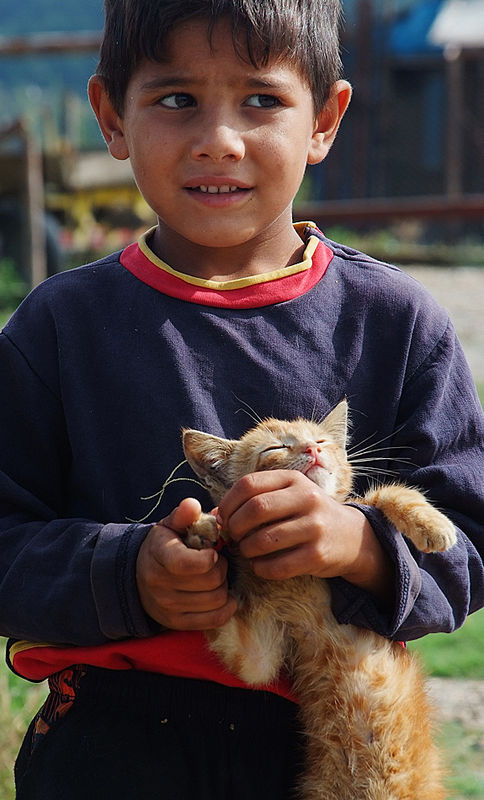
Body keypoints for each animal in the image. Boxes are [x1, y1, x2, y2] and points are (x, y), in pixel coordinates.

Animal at [181, 399, 456, 800]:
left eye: (322, 440)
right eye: (275, 448)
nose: (313, 450)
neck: (299, 578)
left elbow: (384, 494)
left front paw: (433, 525)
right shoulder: (259, 653)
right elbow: (242, 648)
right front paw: (200, 535)